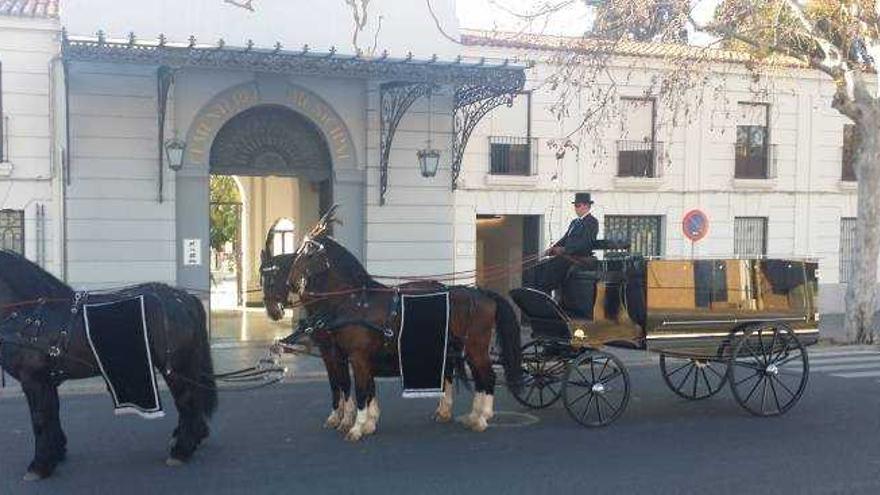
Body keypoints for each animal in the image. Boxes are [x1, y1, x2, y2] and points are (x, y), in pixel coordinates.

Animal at [0, 250, 217, 482]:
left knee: (186, 401)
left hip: (175, 368)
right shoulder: (47, 381)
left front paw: (39, 465)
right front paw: (56, 453)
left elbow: (40, 420)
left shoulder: (34, 380)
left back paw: (181, 451)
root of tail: (182, 298)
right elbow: (52, 416)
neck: (32, 317)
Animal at [262, 209, 524, 442]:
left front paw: (355, 426)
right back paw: (468, 414)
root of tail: (482, 293)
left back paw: (481, 418)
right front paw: (365, 422)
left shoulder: (353, 355)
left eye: (308, 253)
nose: (291, 283)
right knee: (470, 376)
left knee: (487, 376)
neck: (354, 301)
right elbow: (360, 387)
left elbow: (358, 389)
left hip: (475, 346)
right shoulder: (346, 355)